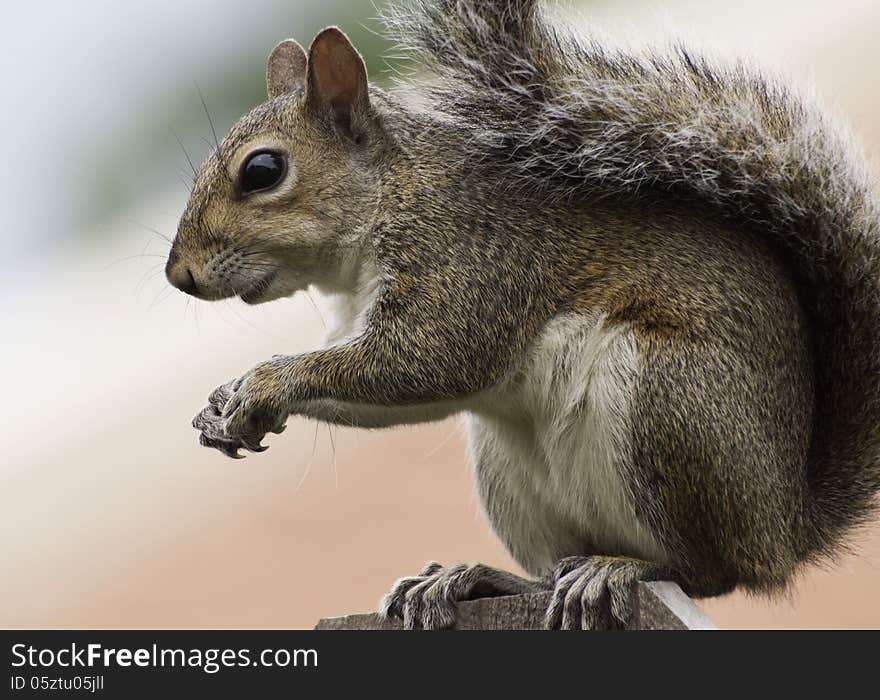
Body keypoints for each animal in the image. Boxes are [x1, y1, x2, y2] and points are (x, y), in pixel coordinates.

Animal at [165, 0, 880, 632]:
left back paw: (620, 570)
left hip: (669, 408)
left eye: (263, 170)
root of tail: (784, 526)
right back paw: (471, 579)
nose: (180, 276)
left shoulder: (471, 260)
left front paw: (263, 384)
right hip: (513, 473)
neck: (393, 194)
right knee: (549, 570)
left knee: (705, 571)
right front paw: (222, 406)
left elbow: (426, 360)